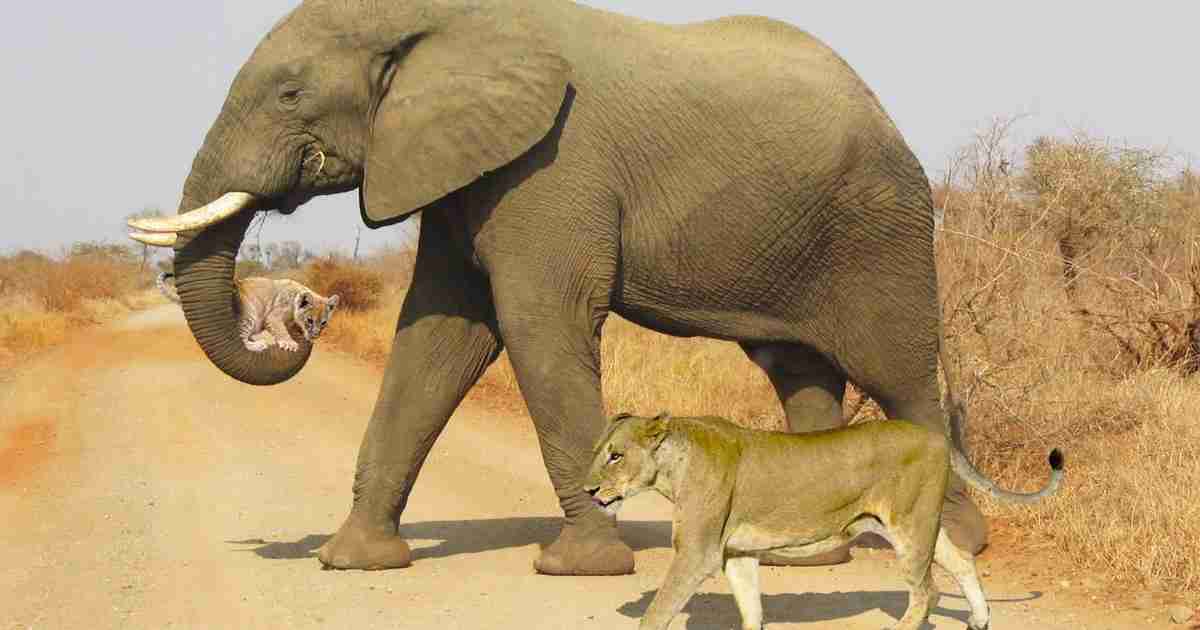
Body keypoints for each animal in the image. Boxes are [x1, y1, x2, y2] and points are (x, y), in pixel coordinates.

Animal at [129, 0, 989, 575]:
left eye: (289, 95)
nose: (300, 321)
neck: (436, 17)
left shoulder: (552, 166)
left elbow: (536, 325)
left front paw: (583, 566)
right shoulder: (460, 167)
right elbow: (438, 336)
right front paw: (355, 561)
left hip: (880, 228)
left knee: (901, 375)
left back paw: (957, 543)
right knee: (799, 371)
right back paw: (805, 559)